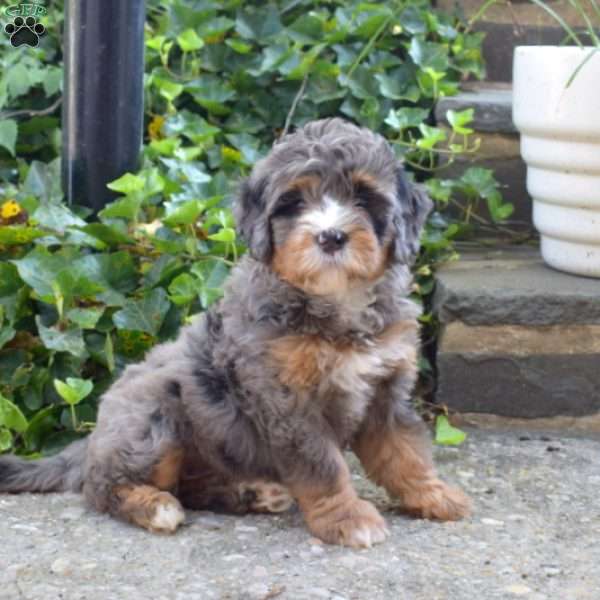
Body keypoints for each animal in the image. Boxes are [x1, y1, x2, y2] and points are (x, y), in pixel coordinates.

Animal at [0, 117, 468, 548]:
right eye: (294, 202)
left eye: (363, 197)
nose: (331, 236)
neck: (337, 303)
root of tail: (94, 434)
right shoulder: (288, 402)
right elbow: (324, 464)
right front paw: (347, 517)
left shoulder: (387, 389)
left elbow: (404, 450)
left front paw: (433, 494)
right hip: (156, 417)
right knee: (102, 487)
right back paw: (155, 507)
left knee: (188, 486)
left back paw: (250, 493)